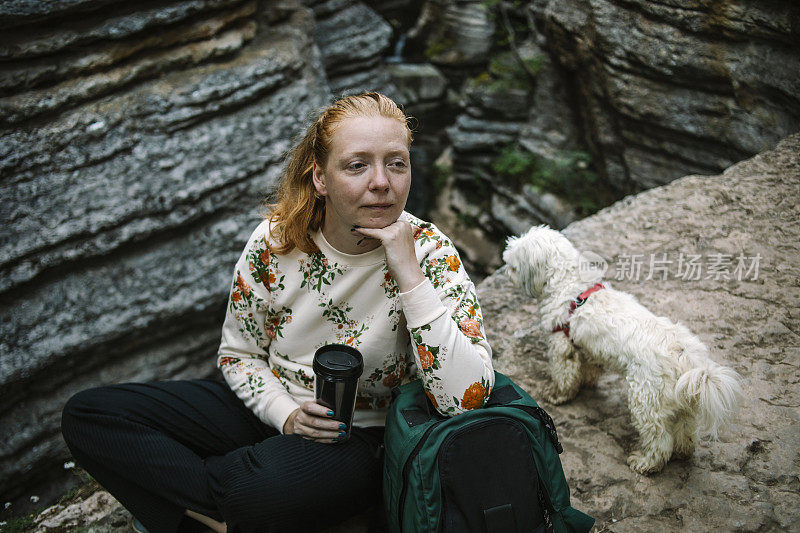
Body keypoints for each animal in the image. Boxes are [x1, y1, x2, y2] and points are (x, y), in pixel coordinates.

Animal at [504, 224, 740, 474]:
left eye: (513, 264)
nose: (506, 269)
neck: (570, 285)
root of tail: (687, 360)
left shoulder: (561, 345)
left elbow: (564, 376)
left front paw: (558, 394)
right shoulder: (588, 347)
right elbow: (590, 368)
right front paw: (586, 382)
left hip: (645, 400)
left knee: (659, 438)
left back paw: (645, 463)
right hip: (684, 404)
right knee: (685, 430)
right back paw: (682, 452)